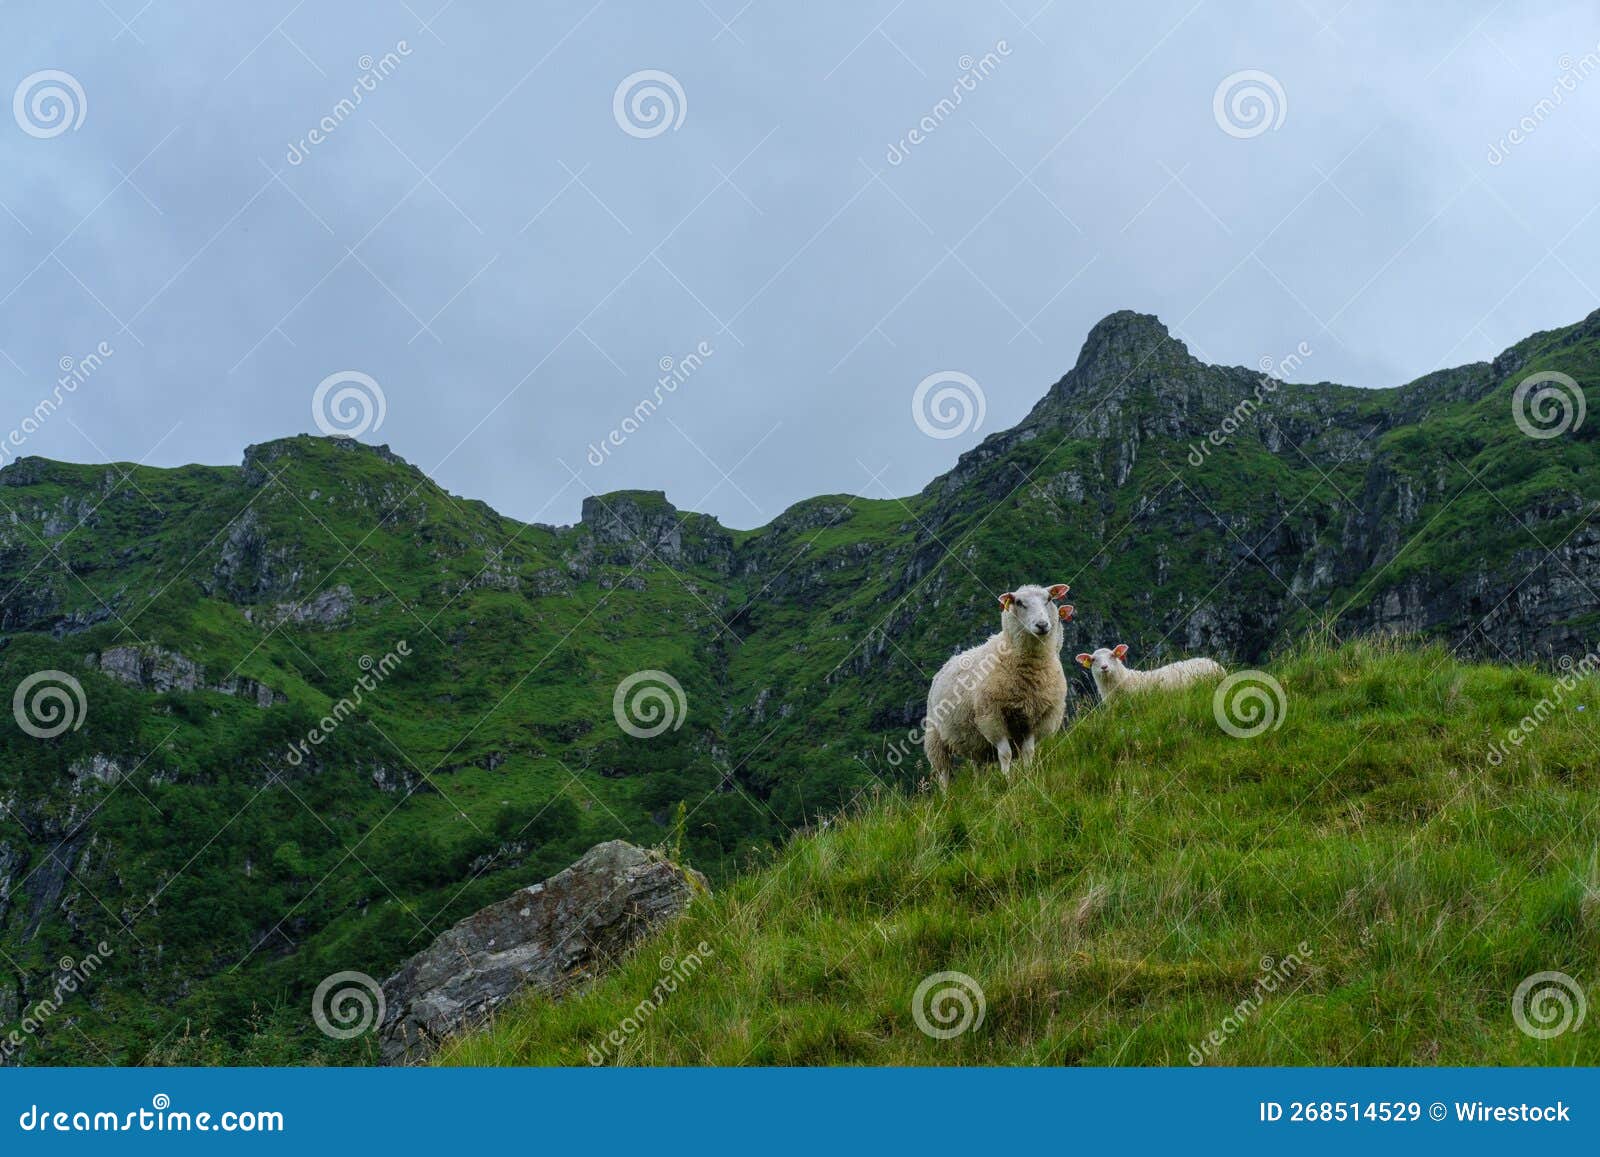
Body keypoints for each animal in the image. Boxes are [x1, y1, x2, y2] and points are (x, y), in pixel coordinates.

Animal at [928, 582, 1075, 790]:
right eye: (1019, 602)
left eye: (1049, 599)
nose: (1042, 625)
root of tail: (946, 664)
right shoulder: (992, 716)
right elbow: (1005, 754)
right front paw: (1007, 779)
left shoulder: (1036, 718)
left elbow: (1028, 752)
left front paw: (1029, 775)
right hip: (935, 737)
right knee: (944, 772)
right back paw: (946, 794)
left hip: (973, 739)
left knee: (977, 765)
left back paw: (980, 789)